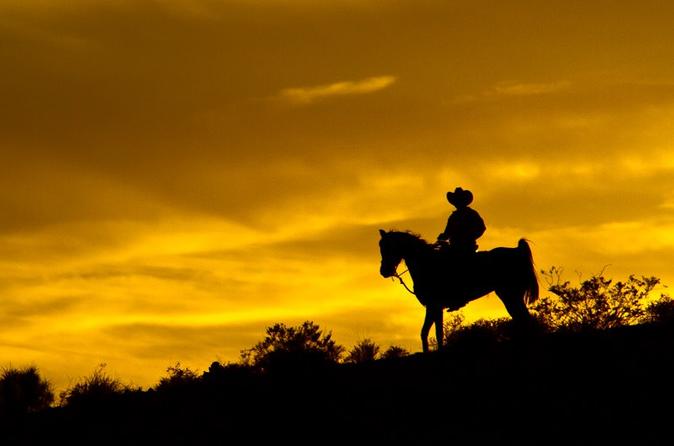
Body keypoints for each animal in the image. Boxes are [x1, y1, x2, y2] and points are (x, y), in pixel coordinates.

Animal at [378, 230, 536, 352]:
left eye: (390, 247)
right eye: (381, 247)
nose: (384, 271)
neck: (427, 264)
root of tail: (516, 250)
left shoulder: (433, 306)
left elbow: (432, 332)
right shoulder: (435, 308)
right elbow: (431, 332)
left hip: (510, 295)